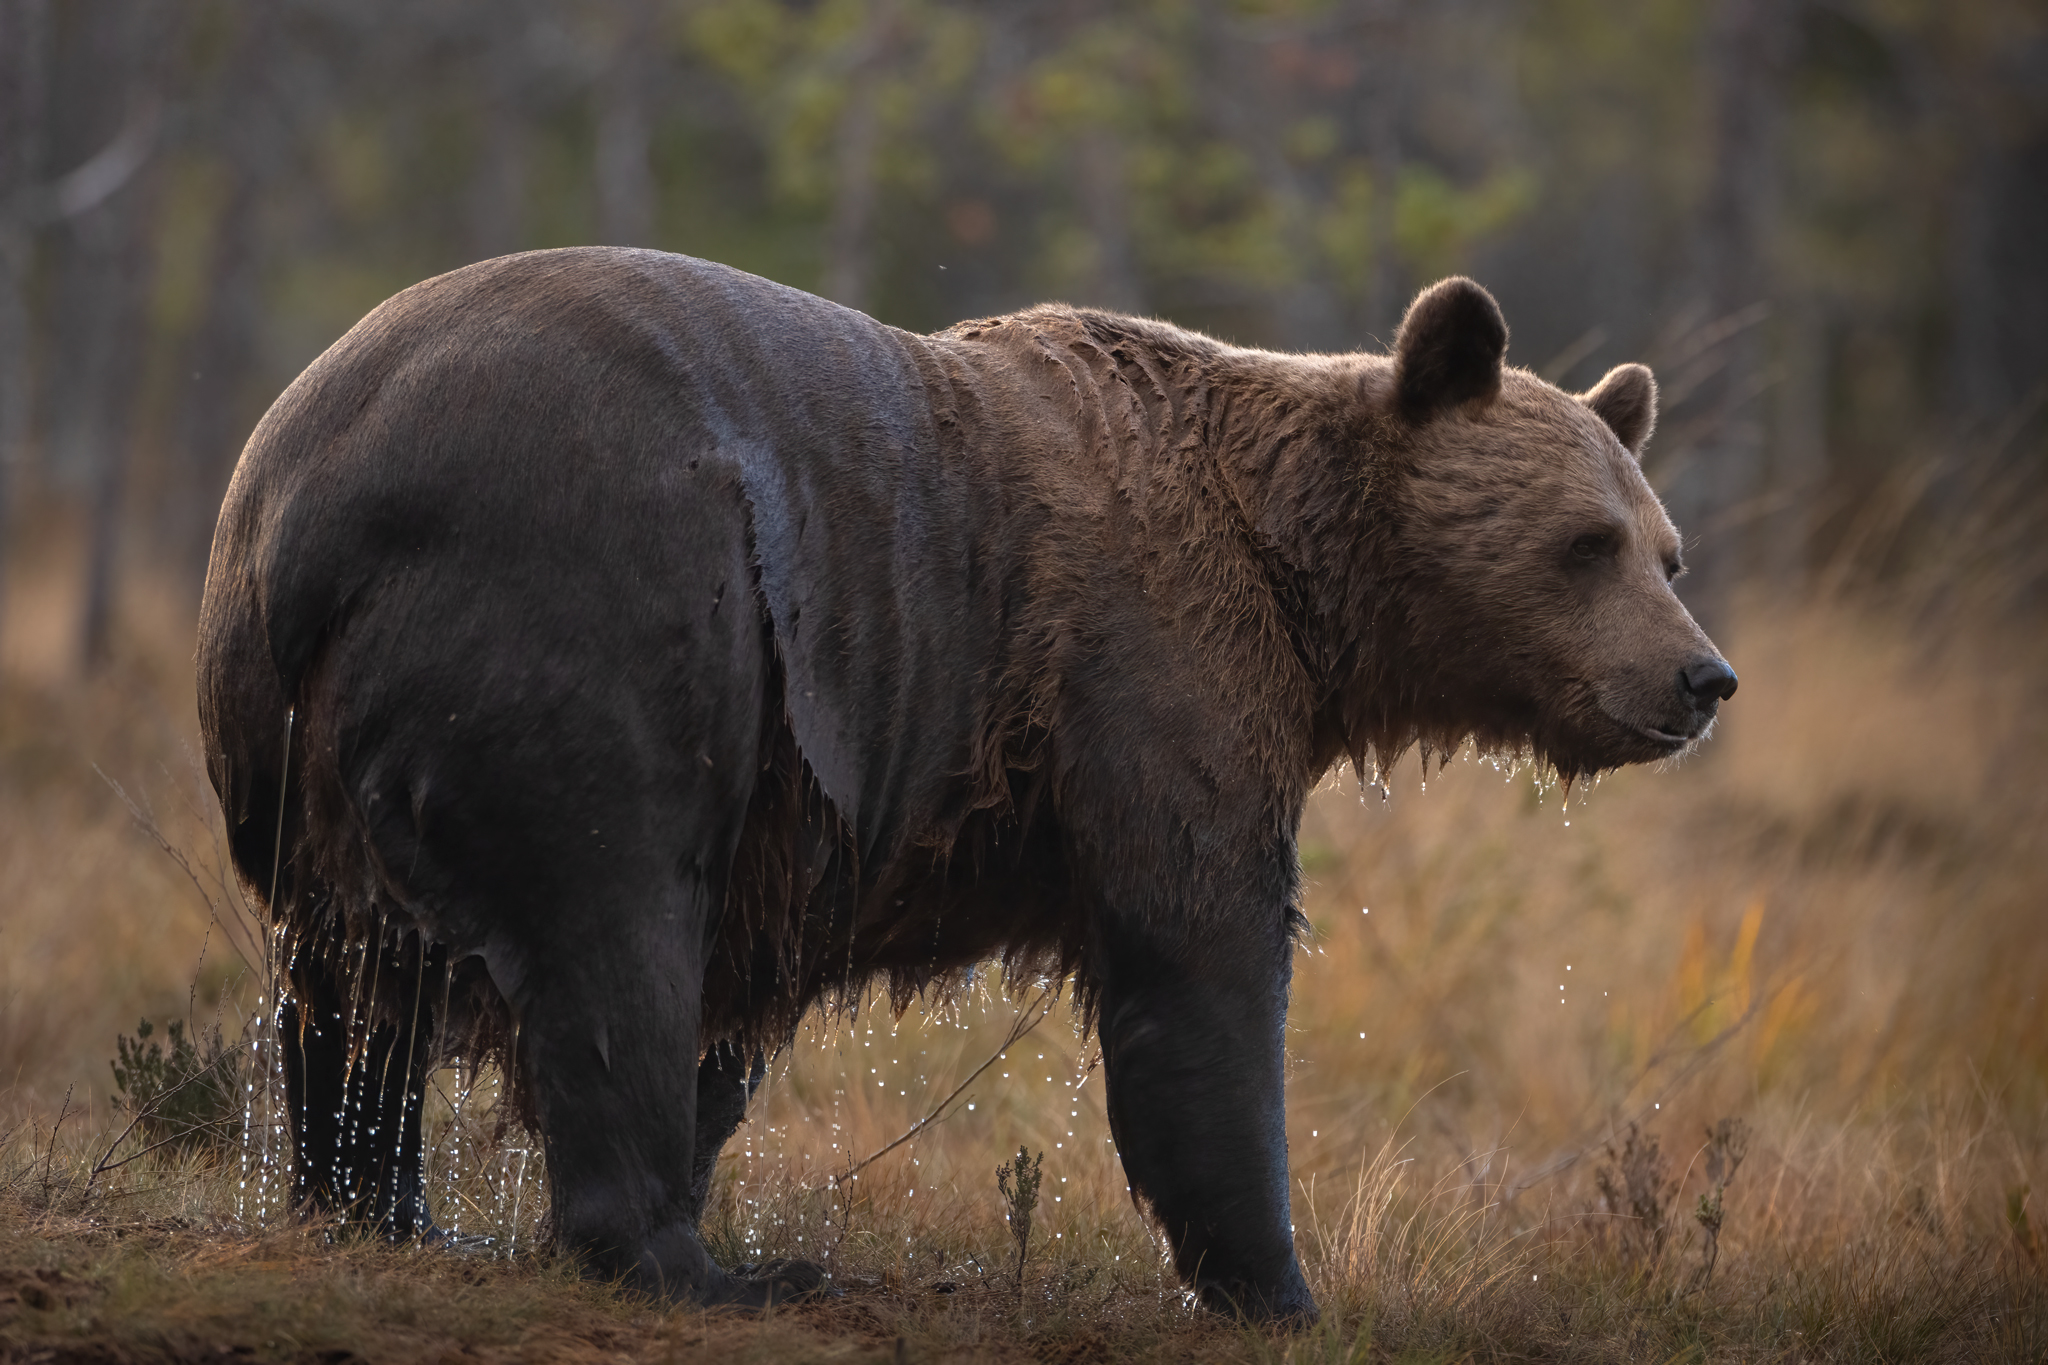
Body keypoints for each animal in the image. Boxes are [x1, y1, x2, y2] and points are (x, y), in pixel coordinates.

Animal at [196, 247, 1736, 1323]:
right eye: (1585, 544)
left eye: (1666, 547)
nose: (1700, 678)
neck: (1306, 598)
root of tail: (315, 497)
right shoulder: (1146, 667)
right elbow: (1201, 959)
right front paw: (1277, 1282)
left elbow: (736, 1021)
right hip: (590, 606)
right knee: (610, 930)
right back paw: (706, 1265)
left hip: (289, 740)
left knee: (347, 981)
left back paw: (380, 1202)